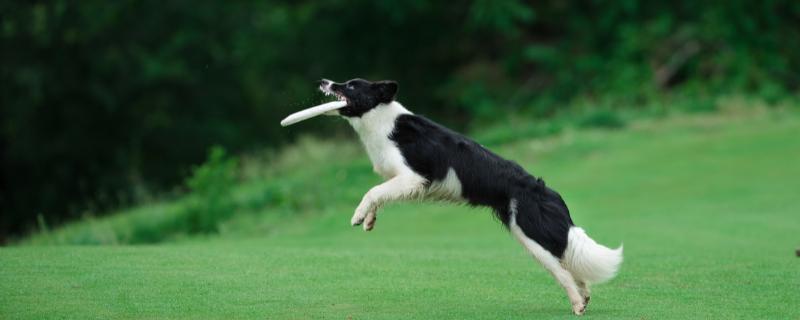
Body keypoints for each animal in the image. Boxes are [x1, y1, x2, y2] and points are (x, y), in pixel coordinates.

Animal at [284, 78, 620, 316]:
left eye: (351, 85)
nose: (324, 82)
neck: (380, 121)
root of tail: (549, 193)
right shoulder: (400, 178)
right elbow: (379, 193)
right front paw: (369, 219)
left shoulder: (414, 176)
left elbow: (373, 190)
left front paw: (357, 215)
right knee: (570, 266)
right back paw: (584, 298)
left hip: (530, 234)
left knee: (561, 270)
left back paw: (577, 304)